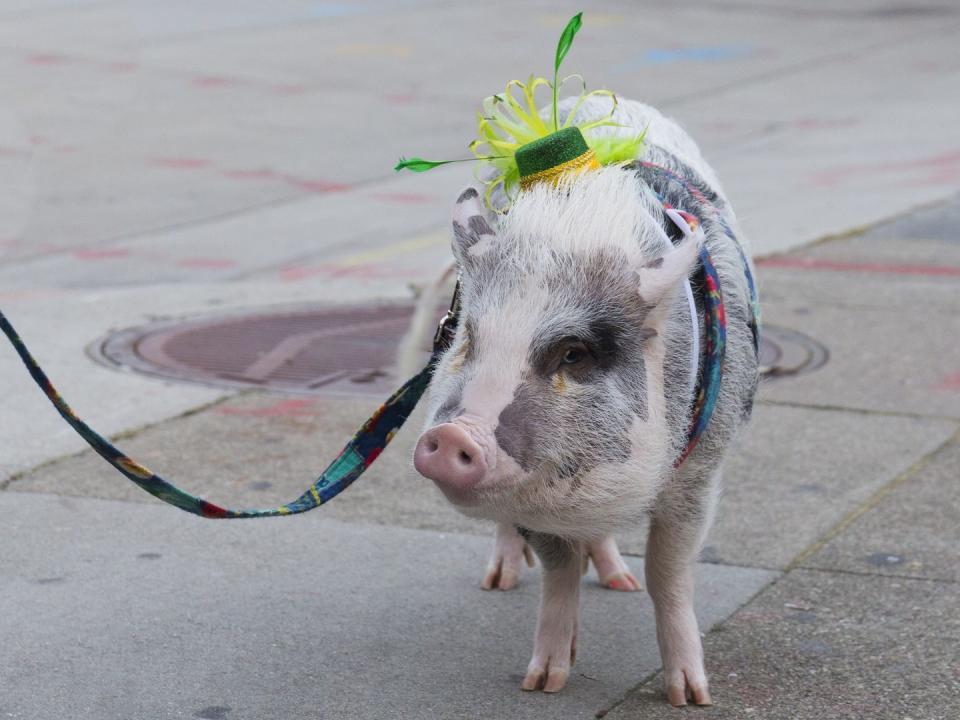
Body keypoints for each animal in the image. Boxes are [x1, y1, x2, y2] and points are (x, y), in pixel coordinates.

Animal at [412, 97, 756, 708]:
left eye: (573, 353)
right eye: (468, 336)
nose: (453, 435)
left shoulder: (700, 471)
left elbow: (669, 572)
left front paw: (690, 696)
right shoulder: (535, 497)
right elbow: (558, 568)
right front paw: (544, 682)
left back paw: (620, 580)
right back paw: (500, 580)